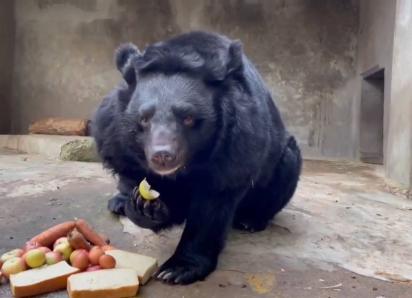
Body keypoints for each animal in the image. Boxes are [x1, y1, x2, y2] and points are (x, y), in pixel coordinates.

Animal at [91, 31, 300, 286]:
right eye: (144, 119)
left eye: (188, 118)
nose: (162, 155)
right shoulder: (115, 136)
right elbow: (135, 176)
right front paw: (143, 207)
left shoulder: (236, 145)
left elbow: (213, 205)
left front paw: (177, 269)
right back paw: (119, 203)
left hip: (283, 158)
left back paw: (251, 220)